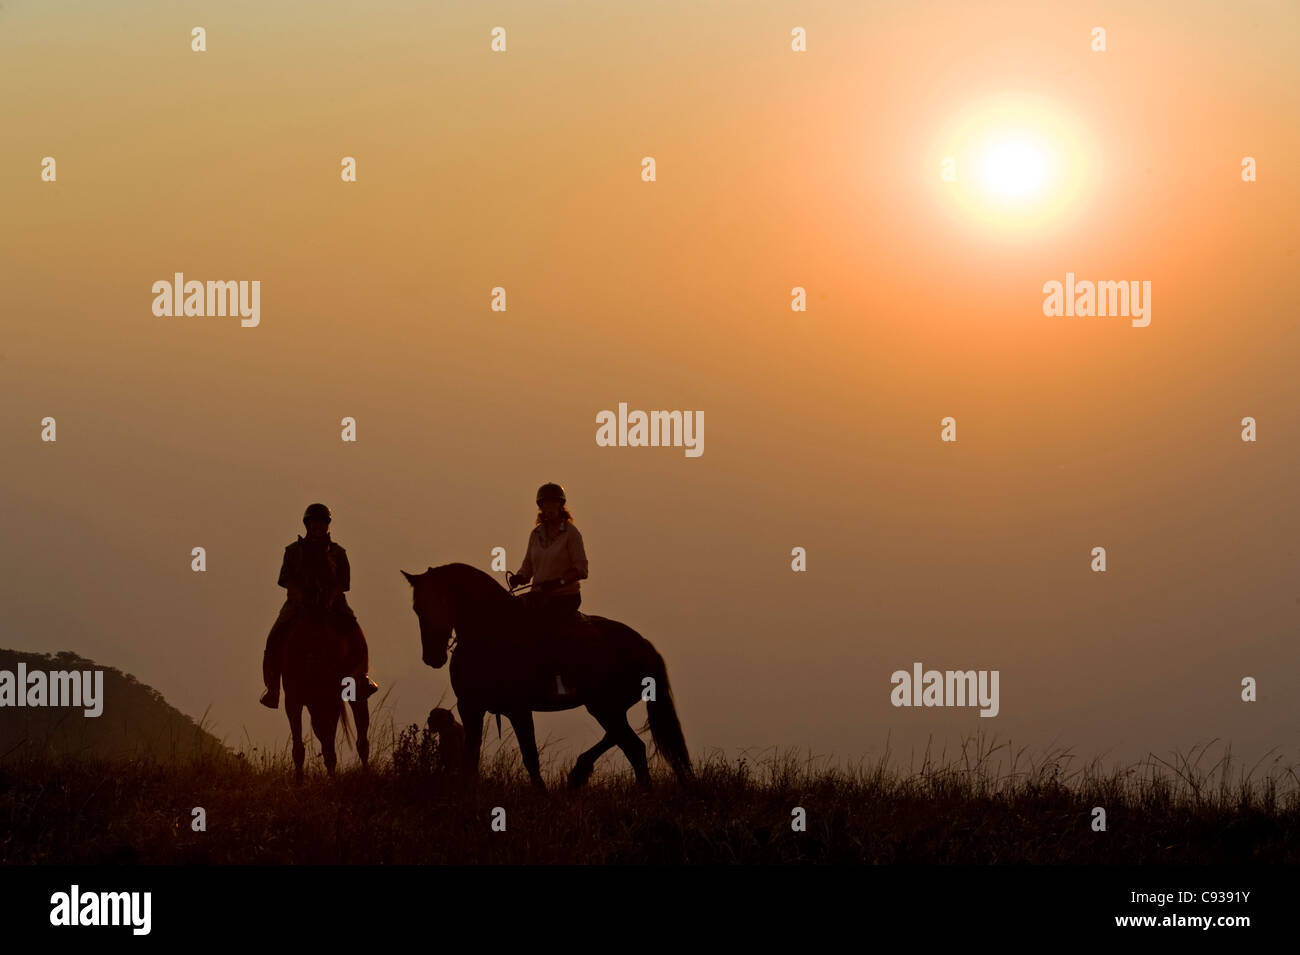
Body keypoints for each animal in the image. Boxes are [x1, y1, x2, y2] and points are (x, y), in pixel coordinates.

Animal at [400, 563, 696, 789]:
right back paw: (580, 774)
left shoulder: (518, 709)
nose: (432, 658)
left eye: (439, 604)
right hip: (608, 708)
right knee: (624, 741)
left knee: (633, 746)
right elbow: (470, 754)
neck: (490, 634)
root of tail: (645, 646)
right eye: (417, 609)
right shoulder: (470, 707)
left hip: (605, 707)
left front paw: (540, 793)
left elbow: (529, 754)